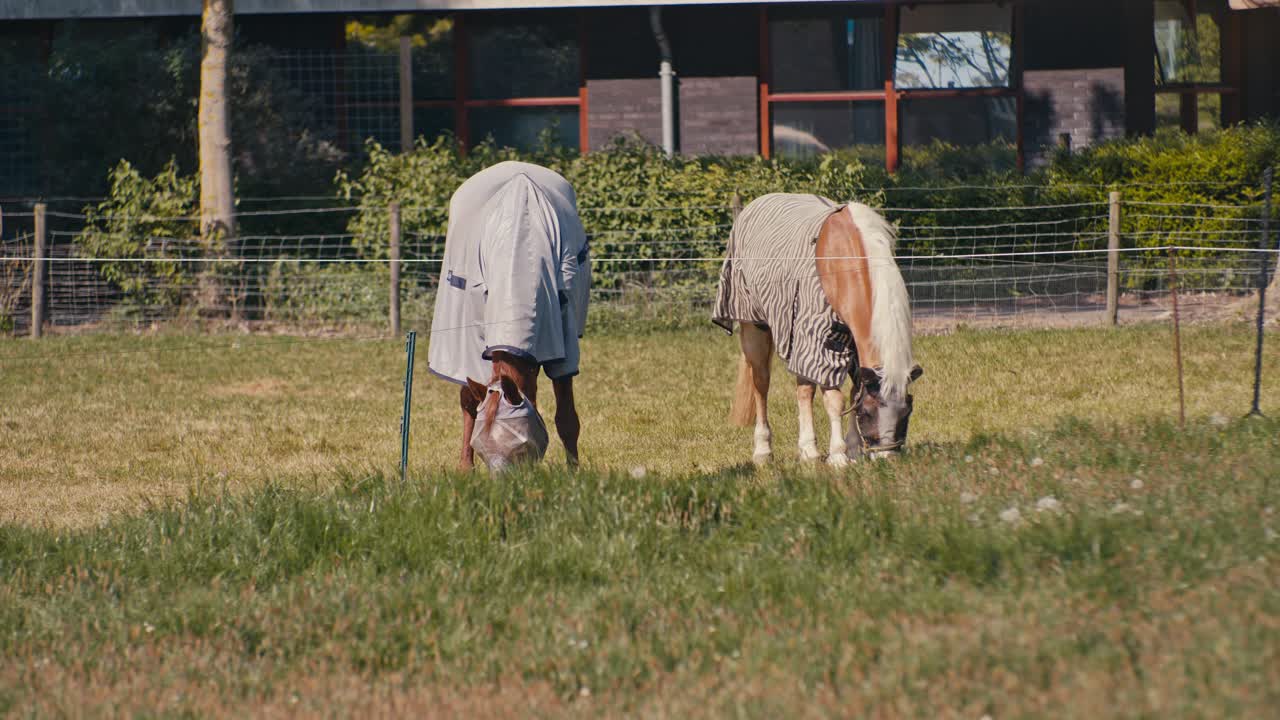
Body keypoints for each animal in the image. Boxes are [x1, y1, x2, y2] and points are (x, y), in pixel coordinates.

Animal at [427, 161, 590, 472]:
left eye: (522, 446)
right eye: (481, 449)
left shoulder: (563, 348)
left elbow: (566, 418)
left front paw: (574, 472)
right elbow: (471, 401)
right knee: (467, 401)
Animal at [712, 194, 922, 466]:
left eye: (907, 411)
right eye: (867, 412)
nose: (888, 457)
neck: (843, 258)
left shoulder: (846, 344)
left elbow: (852, 391)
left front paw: (852, 449)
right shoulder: (822, 341)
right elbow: (835, 400)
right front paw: (838, 455)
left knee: (804, 390)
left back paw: (808, 449)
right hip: (756, 328)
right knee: (761, 385)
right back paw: (763, 450)